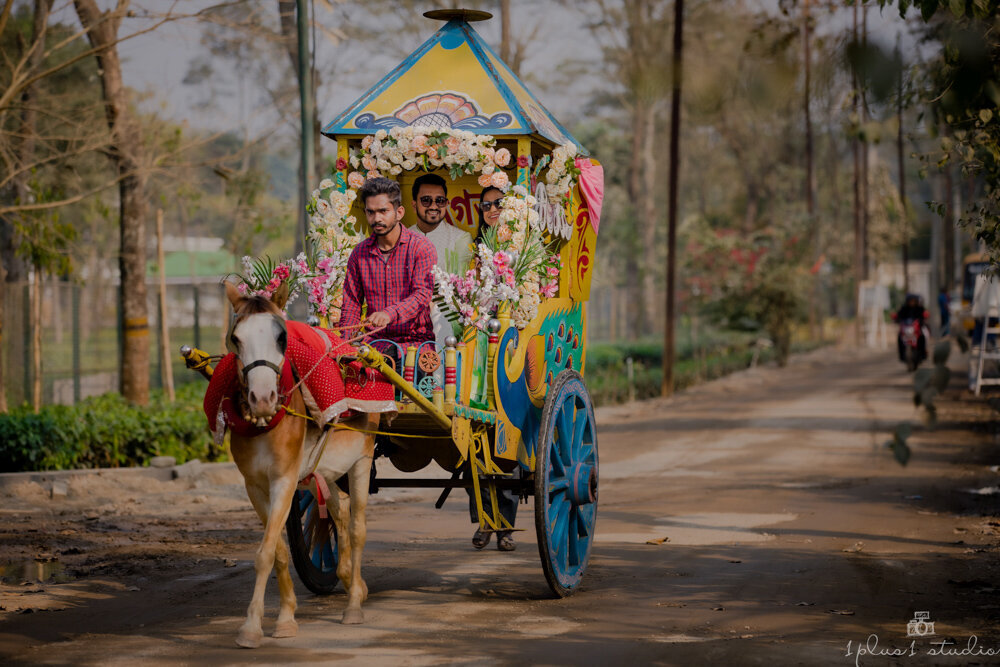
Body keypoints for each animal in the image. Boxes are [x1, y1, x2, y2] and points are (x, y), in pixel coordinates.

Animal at [223, 282, 378, 648]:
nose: (262, 399)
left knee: (357, 527)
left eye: (282, 337)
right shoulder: (254, 485)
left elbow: (265, 553)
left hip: (362, 460)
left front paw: (255, 626)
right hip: (323, 469)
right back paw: (350, 579)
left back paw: (353, 605)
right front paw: (284, 615)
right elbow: (277, 550)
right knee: (340, 510)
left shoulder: (285, 479)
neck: (266, 424)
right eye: (236, 338)